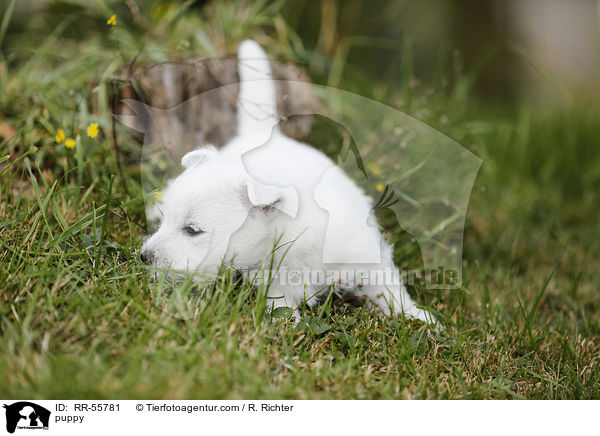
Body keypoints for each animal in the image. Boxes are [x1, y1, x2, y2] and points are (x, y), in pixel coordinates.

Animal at [142, 41, 436, 326]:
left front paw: (421, 318)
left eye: (192, 230)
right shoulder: (275, 283)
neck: (293, 230)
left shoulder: (365, 256)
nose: (145, 256)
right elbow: (279, 303)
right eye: (167, 219)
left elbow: (389, 290)